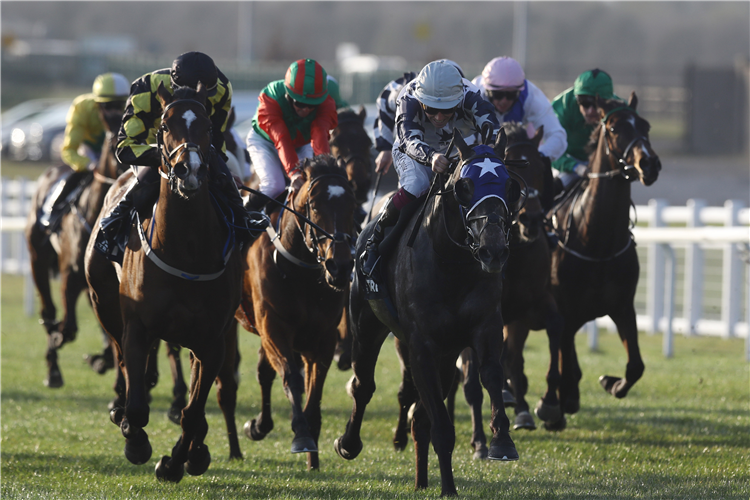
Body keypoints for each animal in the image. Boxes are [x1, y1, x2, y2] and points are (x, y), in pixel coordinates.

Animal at [25, 104, 127, 386]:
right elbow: (68, 328)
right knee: (48, 312)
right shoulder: (69, 274)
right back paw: (53, 367)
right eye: (115, 142)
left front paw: (101, 360)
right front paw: (59, 339)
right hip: (37, 259)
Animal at [85, 82, 244, 480]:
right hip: (104, 305)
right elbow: (138, 404)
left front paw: (176, 462)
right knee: (123, 363)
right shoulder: (137, 326)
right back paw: (121, 414)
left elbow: (193, 412)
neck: (185, 249)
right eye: (166, 125)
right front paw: (137, 442)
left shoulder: (212, 340)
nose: (190, 170)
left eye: (206, 125)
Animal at [239, 154, 360, 470]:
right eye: (315, 206)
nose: (341, 266)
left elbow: (314, 389)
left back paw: (260, 426)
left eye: (353, 205)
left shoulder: (323, 338)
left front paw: (313, 458)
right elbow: (291, 377)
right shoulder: (274, 327)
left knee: (264, 371)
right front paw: (302, 436)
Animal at [336, 129, 520, 496]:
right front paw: (448, 488)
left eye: (509, 186)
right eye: (464, 186)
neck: (452, 265)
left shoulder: (483, 327)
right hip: (366, 326)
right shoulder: (421, 346)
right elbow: (441, 425)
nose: (493, 251)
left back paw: (421, 480)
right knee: (363, 385)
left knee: (420, 416)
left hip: (446, 355)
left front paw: (502, 441)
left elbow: (491, 374)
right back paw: (349, 443)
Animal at [548, 91, 660, 426]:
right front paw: (561, 403)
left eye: (645, 126)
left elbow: (635, 366)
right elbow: (566, 364)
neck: (596, 242)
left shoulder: (623, 306)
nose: (649, 163)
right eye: (613, 128)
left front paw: (612, 383)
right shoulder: (563, 308)